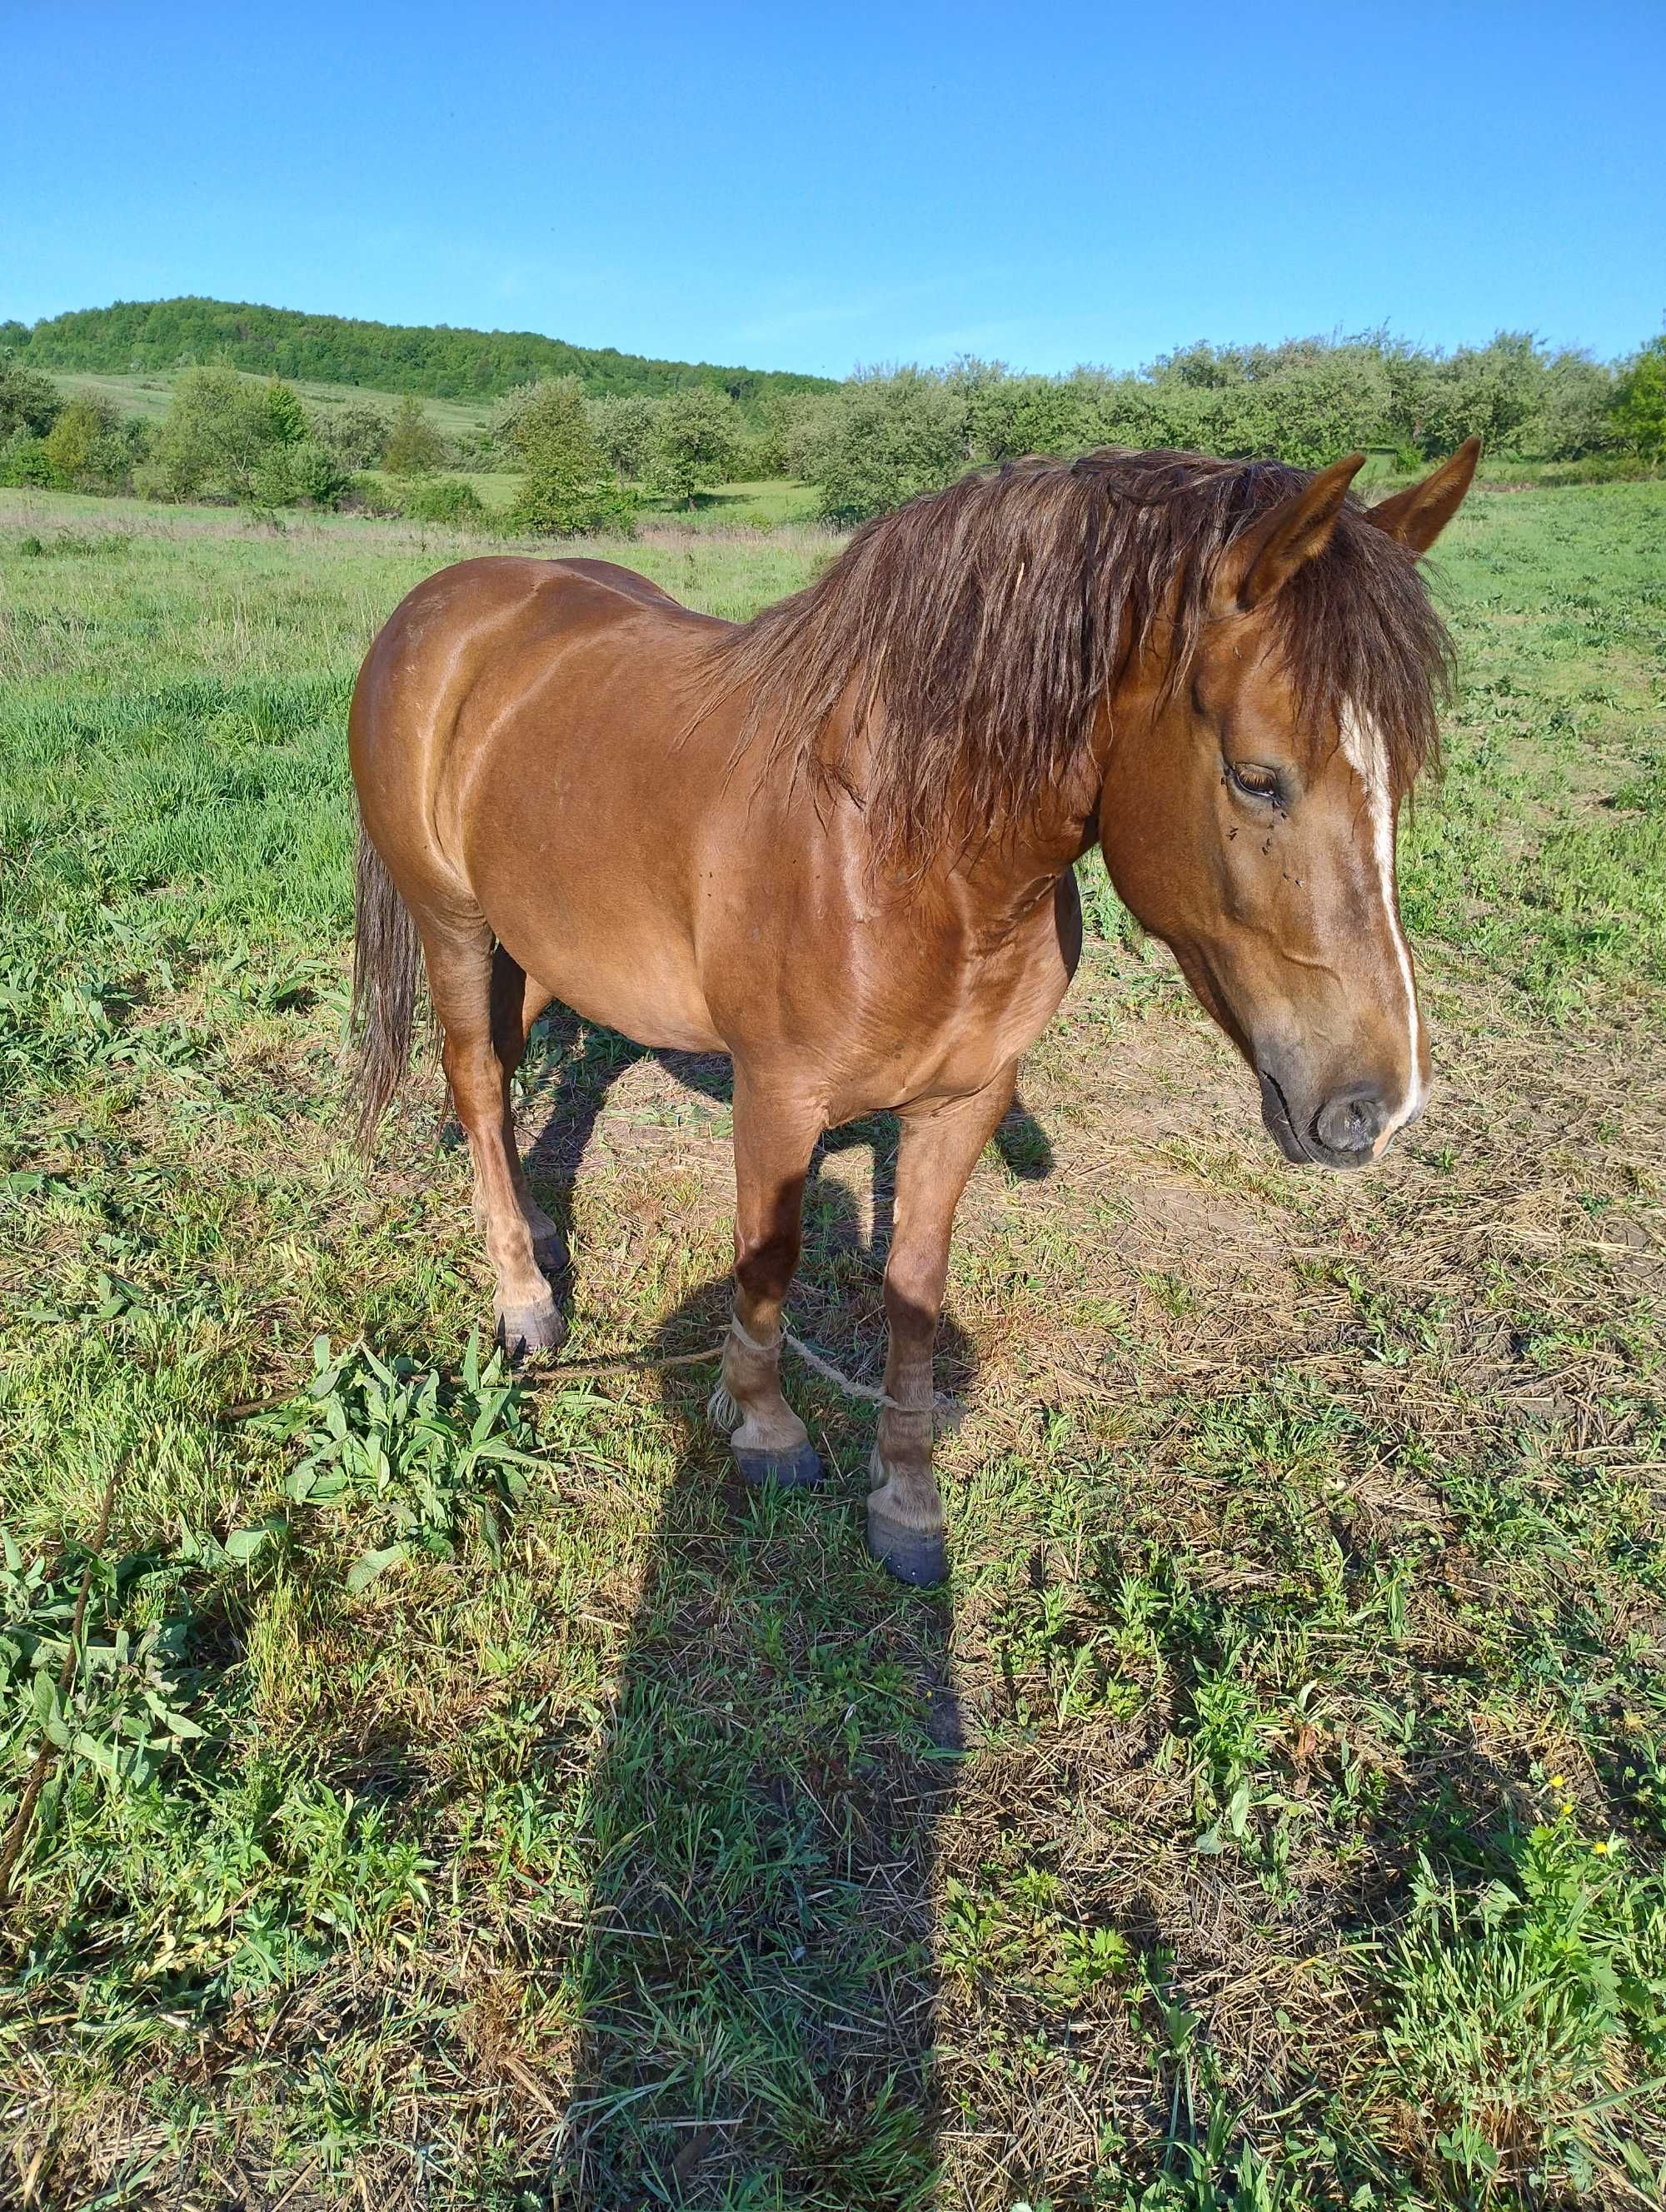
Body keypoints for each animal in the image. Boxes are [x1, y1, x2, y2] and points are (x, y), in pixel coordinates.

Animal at [347, 440, 1469, 1583]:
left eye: (1401, 779)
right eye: (1255, 776)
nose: (1373, 1108)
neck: (900, 849)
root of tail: (446, 600)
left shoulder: (963, 1100)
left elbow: (916, 1291)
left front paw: (906, 1497)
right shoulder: (776, 1097)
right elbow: (768, 1260)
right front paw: (762, 1427)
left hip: (533, 940)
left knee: (502, 1068)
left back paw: (532, 1224)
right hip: (451, 919)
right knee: (476, 1076)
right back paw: (524, 1300)